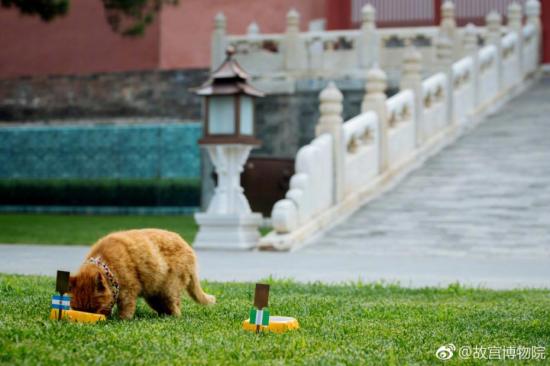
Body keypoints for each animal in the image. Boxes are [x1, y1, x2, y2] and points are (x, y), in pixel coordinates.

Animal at [69, 227, 216, 318]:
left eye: (94, 310)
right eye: (77, 309)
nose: (86, 317)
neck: (105, 262)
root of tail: (189, 248)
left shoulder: (129, 290)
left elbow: (126, 308)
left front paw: (121, 319)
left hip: (169, 289)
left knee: (176, 308)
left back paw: (172, 318)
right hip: (154, 294)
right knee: (164, 308)